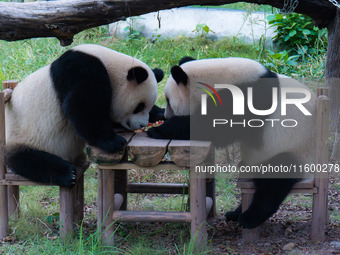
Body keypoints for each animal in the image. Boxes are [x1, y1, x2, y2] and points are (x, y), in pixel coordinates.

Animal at [4, 43, 164, 187]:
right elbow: (82, 105)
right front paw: (114, 142)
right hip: (25, 138)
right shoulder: (81, 69)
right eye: (139, 106)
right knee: (30, 161)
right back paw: (67, 174)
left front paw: (161, 113)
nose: (142, 124)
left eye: (147, 107)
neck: (109, 64)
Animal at [147, 56, 318, 228]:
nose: (166, 115)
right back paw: (235, 214)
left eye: (168, 100)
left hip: (294, 150)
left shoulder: (247, 97)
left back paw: (249, 218)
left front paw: (159, 130)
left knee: (275, 180)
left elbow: (216, 128)